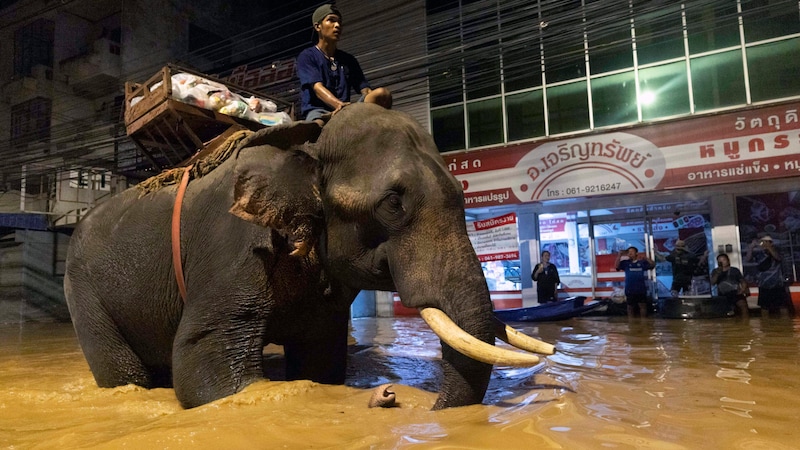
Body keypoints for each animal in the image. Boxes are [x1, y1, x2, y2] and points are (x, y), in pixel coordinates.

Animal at [64, 103, 556, 412]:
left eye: (462, 194)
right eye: (393, 203)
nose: (394, 399)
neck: (310, 139)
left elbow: (320, 361)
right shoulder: (234, 246)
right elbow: (206, 371)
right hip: (83, 292)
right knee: (124, 373)